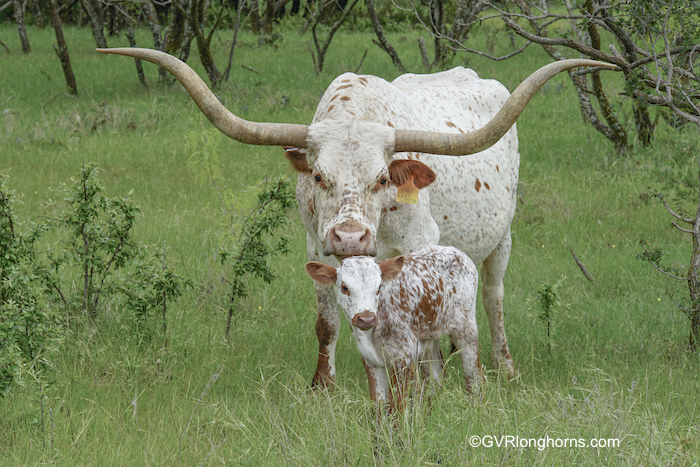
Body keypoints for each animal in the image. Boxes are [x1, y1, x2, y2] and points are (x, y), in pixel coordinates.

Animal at [306, 247, 482, 412]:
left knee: (474, 373)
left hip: (466, 328)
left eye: (378, 287)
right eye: (344, 288)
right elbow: (378, 404)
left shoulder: (403, 355)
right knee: (435, 373)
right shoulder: (370, 359)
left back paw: (475, 406)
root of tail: (456, 252)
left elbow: (396, 404)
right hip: (429, 335)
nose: (366, 318)